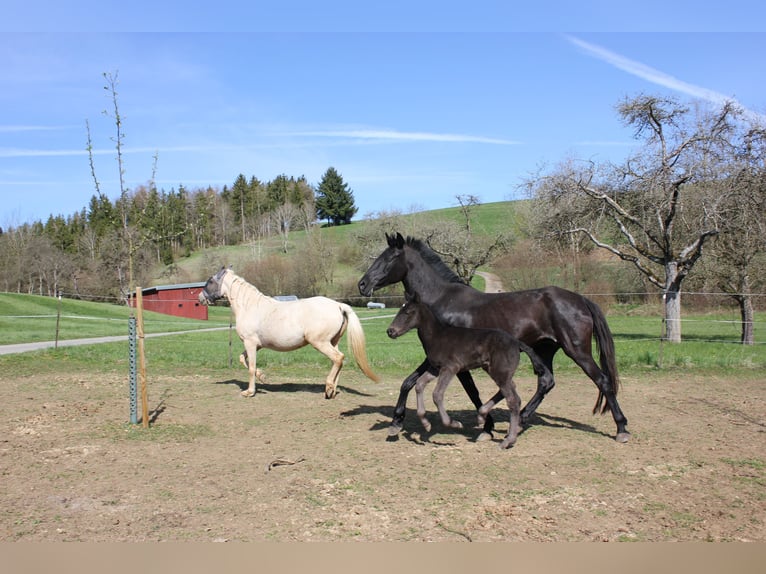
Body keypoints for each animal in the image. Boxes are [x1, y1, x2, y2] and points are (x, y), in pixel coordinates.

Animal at [199, 268, 379, 398]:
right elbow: (243, 359)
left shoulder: (250, 342)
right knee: (339, 360)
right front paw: (263, 377)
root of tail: (339, 305)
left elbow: (251, 367)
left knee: (338, 358)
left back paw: (328, 388)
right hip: (333, 342)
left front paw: (249, 392)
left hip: (320, 342)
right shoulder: (256, 345)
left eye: (210, 281)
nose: (200, 298)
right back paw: (332, 390)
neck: (249, 306)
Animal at [387, 292, 553, 449]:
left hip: (499, 372)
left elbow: (437, 394)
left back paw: (507, 440)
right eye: (399, 310)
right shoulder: (435, 369)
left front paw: (453, 423)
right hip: (495, 371)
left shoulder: (451, 367)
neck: (437, 336)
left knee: (513, 400)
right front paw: (426, 423)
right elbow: (420, 385)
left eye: (408, 312)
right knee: (511, 390)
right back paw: (482, 416)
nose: (390, 331)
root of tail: (517, 342)